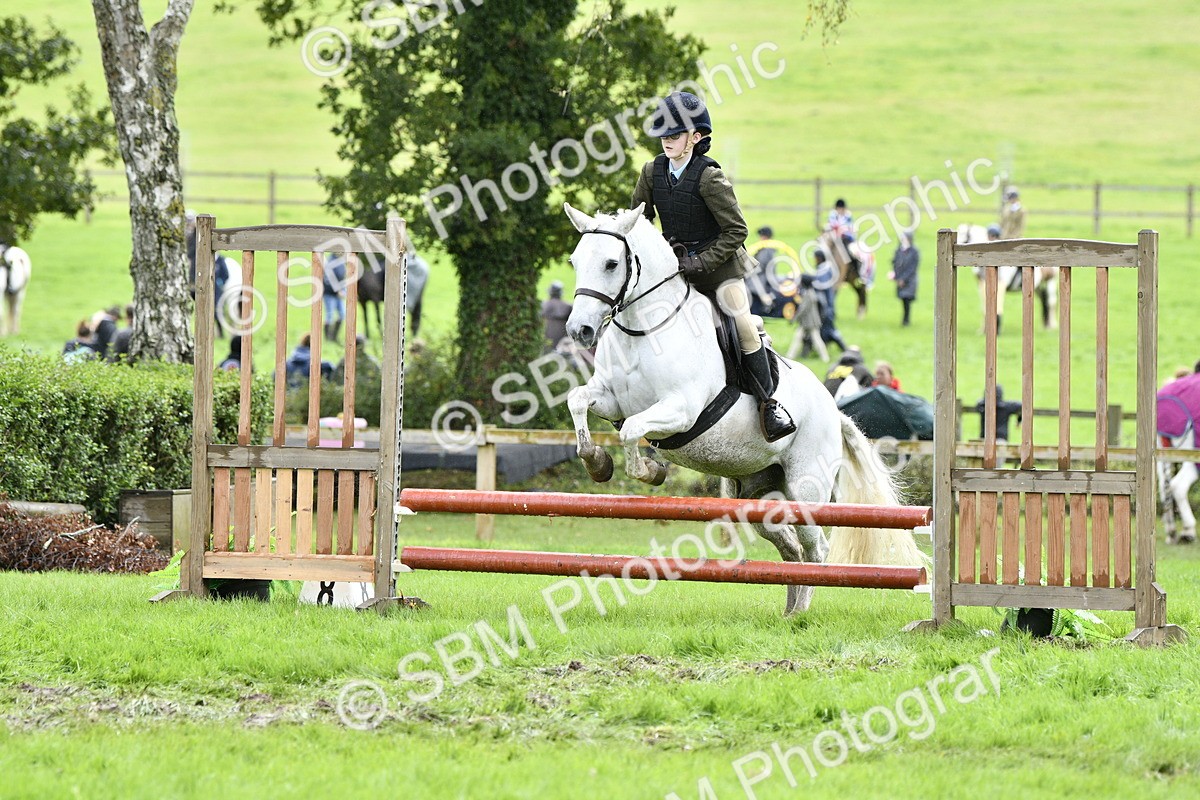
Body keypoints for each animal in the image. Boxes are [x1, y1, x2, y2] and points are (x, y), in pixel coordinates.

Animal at [562, 203, 925, 615]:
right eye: (575, 261)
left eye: (610, 264)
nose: (579, 331)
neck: (643, 330)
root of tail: (835, 412)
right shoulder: (610, 398)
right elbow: (578, 400)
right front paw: (596, 462)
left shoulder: (681, 410)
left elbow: (631, 430)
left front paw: (650, 471)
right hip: (760, 495)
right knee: (790, 547)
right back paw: (789, 610)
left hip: (806, 486)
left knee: (815, 547)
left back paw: (800, 614)